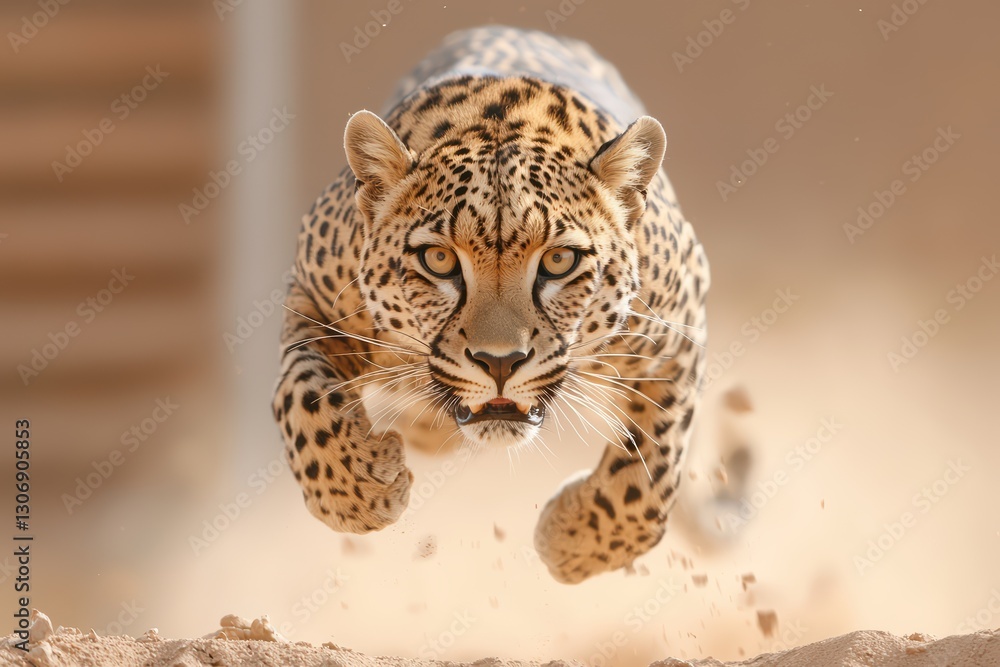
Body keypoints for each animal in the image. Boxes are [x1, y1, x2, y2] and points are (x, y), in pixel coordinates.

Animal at [271, 26, 710, 584]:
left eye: (559, 260)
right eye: (438, 259)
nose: (499, 362)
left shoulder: (678, 327)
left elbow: (653, 467)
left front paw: (573, 543)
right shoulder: (311, 294)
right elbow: (301, 394)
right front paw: (356, 490)